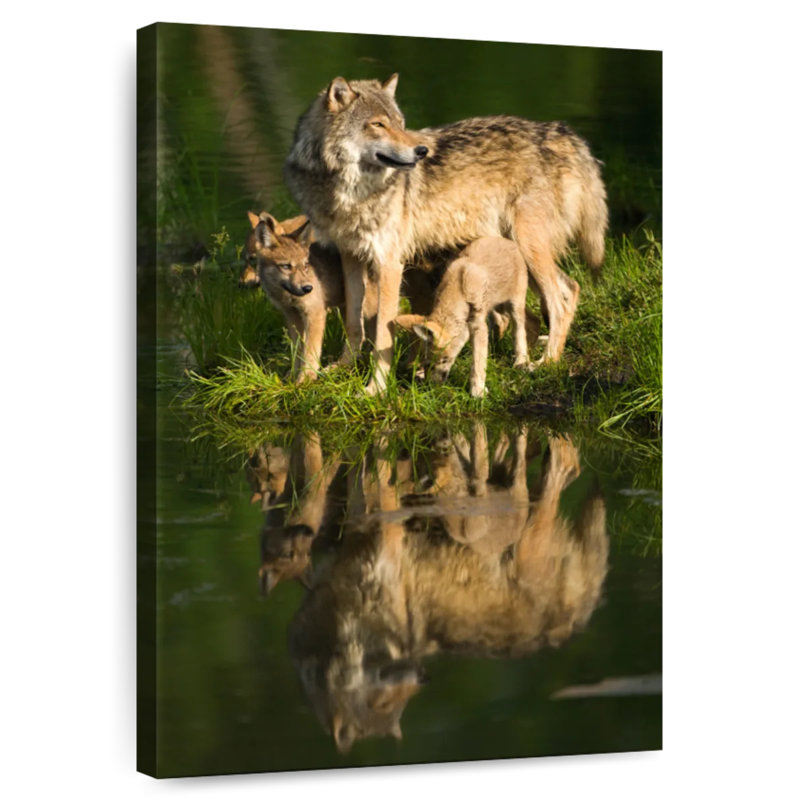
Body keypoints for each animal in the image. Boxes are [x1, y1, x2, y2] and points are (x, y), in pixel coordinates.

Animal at [394, 236, 538, 397]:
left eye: (444, 360)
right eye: (427, 363)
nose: (432, 386)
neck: (460, 291)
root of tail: (508, 241)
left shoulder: (479, 326)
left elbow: (477, 363)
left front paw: (477, 391)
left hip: (515, 305)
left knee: (519, 332)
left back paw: (521, 360)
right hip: (500, 305)